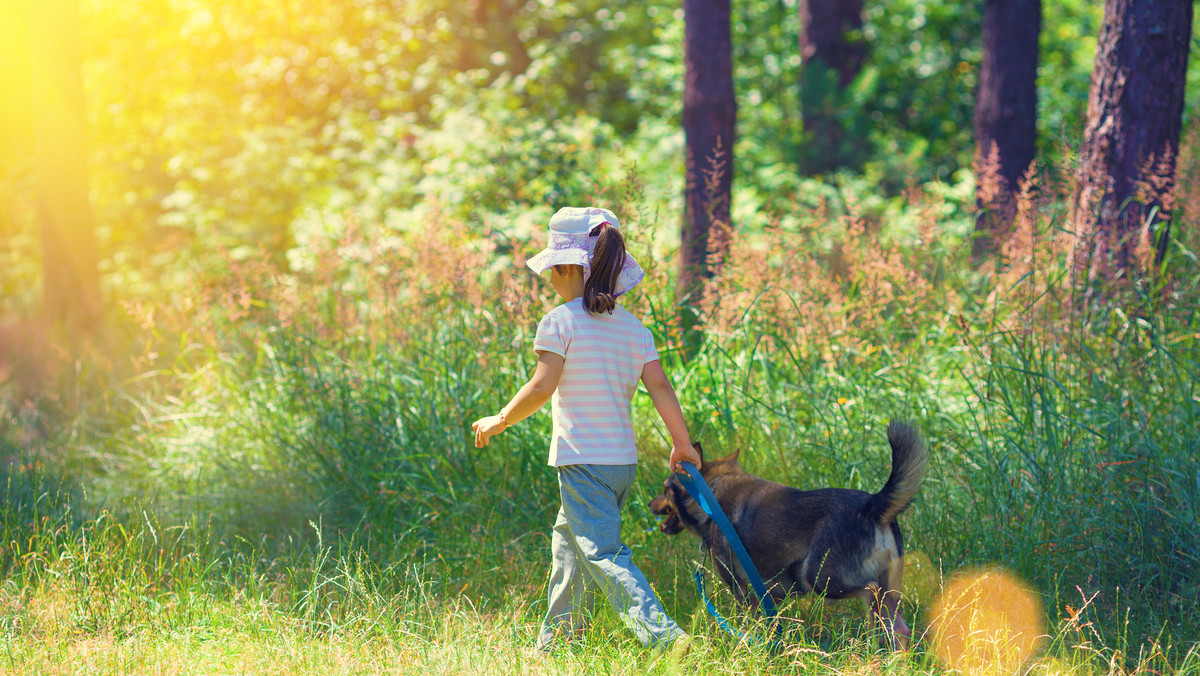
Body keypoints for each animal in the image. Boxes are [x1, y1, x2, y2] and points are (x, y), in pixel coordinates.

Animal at [648, 420, 926, 648]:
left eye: (664, 489)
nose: (650, 504)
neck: (712, 491)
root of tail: (871, 506)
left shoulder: (741, 588)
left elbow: (749, 622)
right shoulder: (770, 591)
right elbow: (770, 621)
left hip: (821, 578)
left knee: (871, 593)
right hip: (887, 588)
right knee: (898, 628)